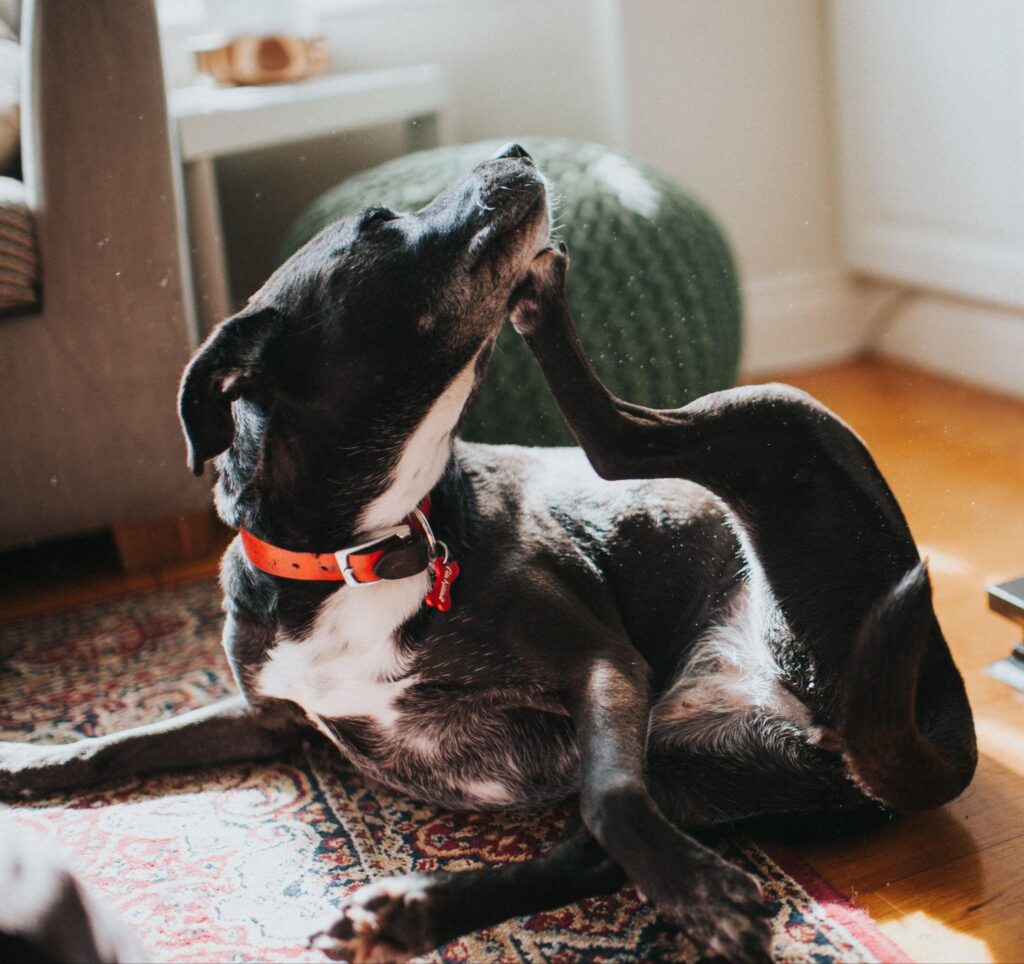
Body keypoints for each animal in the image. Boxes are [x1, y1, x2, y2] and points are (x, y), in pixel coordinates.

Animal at [0, 146, 974, 958]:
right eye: (379, 223)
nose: (513, 149)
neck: (366, 548)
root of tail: (937, 702)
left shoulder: (602, 664)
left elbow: (608, 797)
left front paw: (696, 890)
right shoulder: (271, 713)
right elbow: (130, 741)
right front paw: (32, 761)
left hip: (776, 421)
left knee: (619, 443)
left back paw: (543, 298)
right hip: (705, 761)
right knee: (587, 856)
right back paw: (414, 912)